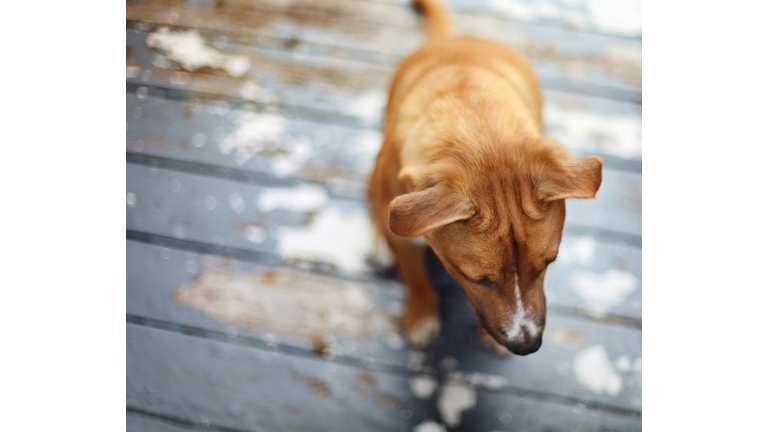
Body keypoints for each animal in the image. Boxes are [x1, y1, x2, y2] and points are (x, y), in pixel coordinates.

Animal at [368, 0, 604, 354]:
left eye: (548, 264)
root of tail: (454, 38)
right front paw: (421, 315)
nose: (526, 346)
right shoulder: (403, 234)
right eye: (476, 279)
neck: (478, 131)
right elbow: (415, 277)